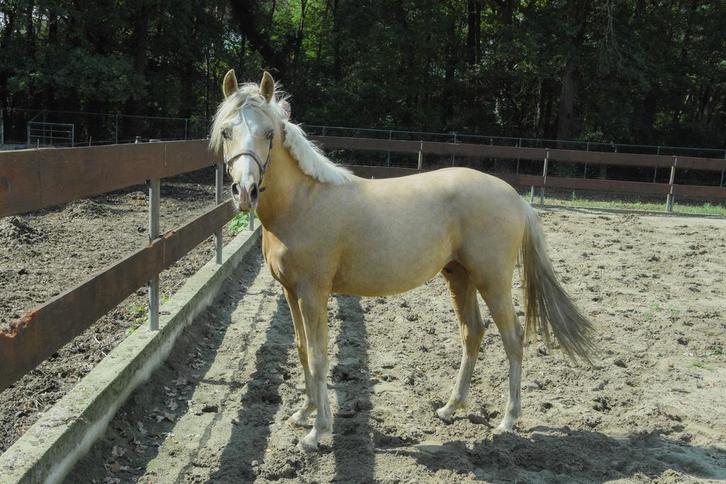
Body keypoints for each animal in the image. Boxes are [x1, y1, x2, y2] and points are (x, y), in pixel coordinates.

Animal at [209, 70, 595, 452]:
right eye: (227, 131)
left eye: (269, 133)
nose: (245, 192)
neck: (303, 202)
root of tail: (516, 198)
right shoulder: (291, 292)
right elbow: (304, 350)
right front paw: (304, 414)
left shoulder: (313, 293)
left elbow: (320, 355)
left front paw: (317, 431)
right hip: (460, 276)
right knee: (473, 332)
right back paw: (449, 408)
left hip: (493, 280)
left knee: (512, 337)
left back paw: (508, 420)